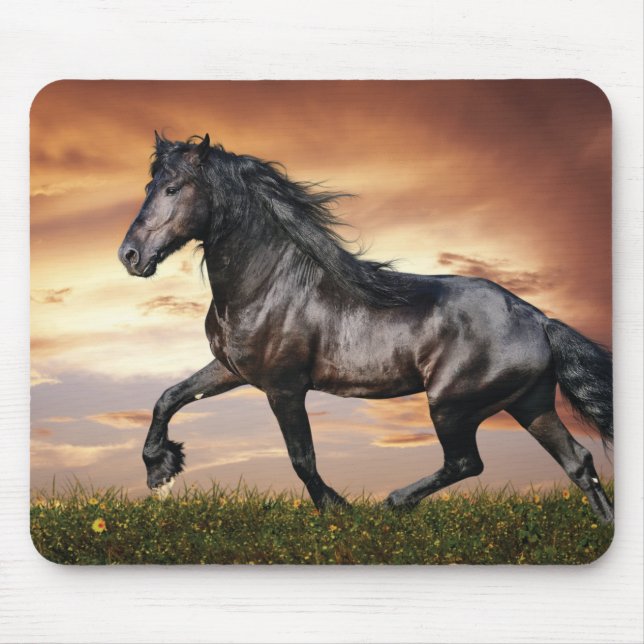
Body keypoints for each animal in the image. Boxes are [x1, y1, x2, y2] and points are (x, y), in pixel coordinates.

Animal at [118, 133, 614, 523]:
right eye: (148, 185)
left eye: (172, 188)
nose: (130, 256)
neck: (268, 284)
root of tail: (538, 319)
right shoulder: (231, 370)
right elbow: (169, 397)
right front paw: (160, 469)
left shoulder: (284, 387)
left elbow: (302, 458)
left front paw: (338, 510)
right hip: (530, 404)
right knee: (578, 462)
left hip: (452, 405)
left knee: (466, 463)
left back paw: (392, 503)